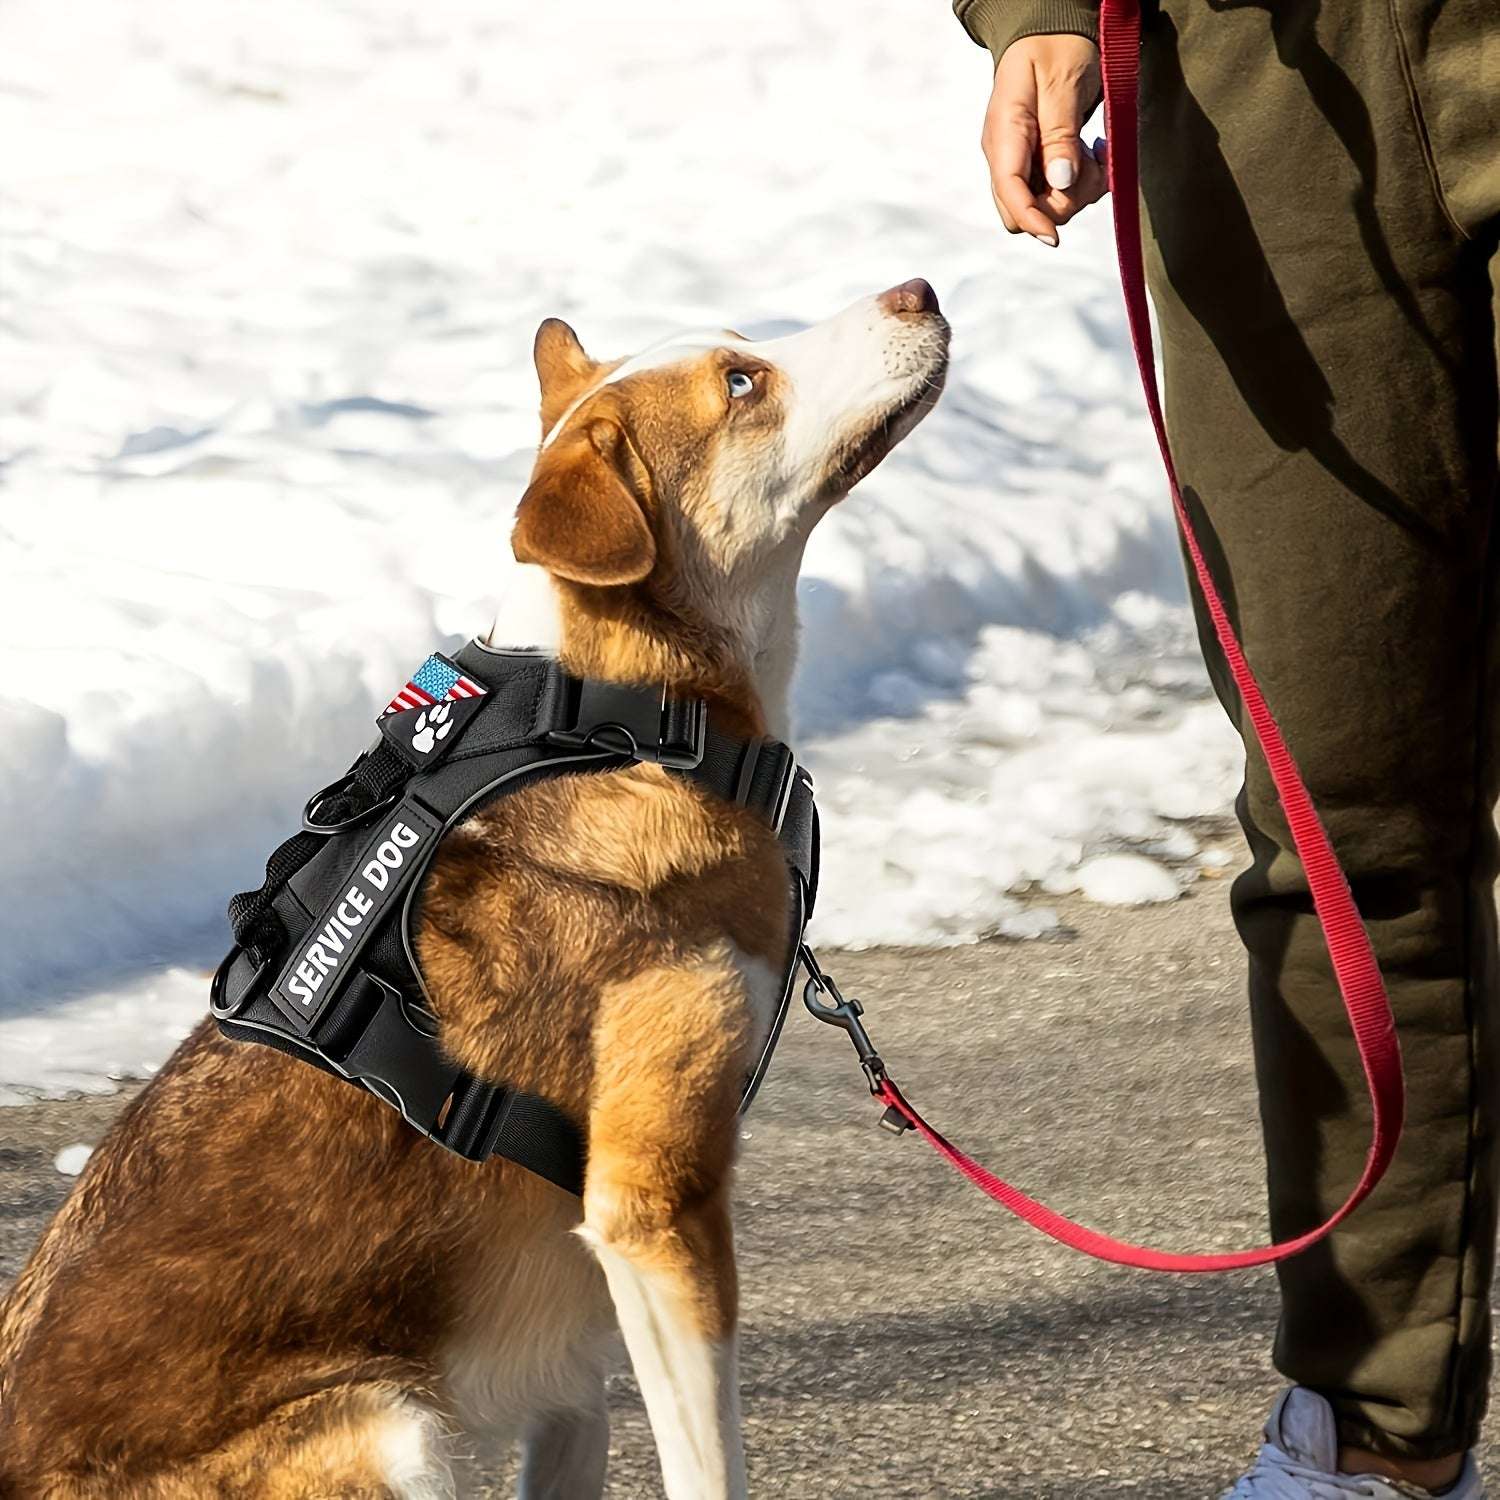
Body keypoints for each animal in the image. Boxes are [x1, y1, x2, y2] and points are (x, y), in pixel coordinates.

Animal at [0, 282, 948, 1500]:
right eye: (742, 383)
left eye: (742, 346)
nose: (917, 289)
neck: (621, 718)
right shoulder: (655, 1206)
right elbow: (709, 1469)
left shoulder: (576, 1359)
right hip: (391, 1424)